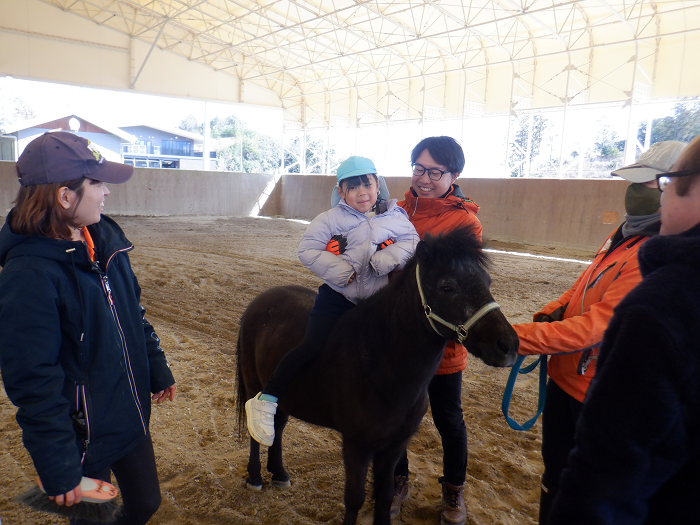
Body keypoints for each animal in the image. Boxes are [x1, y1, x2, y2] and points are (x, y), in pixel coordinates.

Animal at [235, 226, 519, 525]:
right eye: (447, 287)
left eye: (487, 282)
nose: (508, 345)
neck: (378, 359)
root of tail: (259, 302)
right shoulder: (357, 446)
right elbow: (355, 498)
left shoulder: (393, 446)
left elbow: (384, 497)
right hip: (255, 386)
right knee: (257, 431)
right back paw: (255, 477)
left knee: (276, 427)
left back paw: (279, 473)